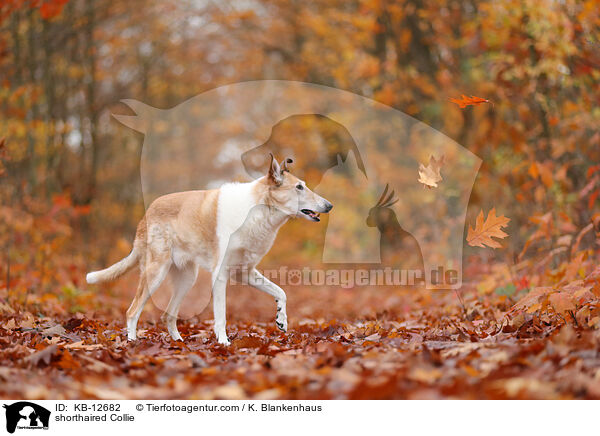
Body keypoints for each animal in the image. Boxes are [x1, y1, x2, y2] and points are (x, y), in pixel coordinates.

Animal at [86, 155, 332, 346]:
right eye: (299, 187)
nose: (329, 205)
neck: (257, 211)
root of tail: (146, 214)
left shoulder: (245, 272)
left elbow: (281, 291)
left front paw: (282, 318)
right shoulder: (221, 275)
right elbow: (221, 315)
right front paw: (223, 342)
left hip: (187, 278)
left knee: (167, 316)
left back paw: (179, 343)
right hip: (156, 273)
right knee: (133, 310)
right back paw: (132, 342)